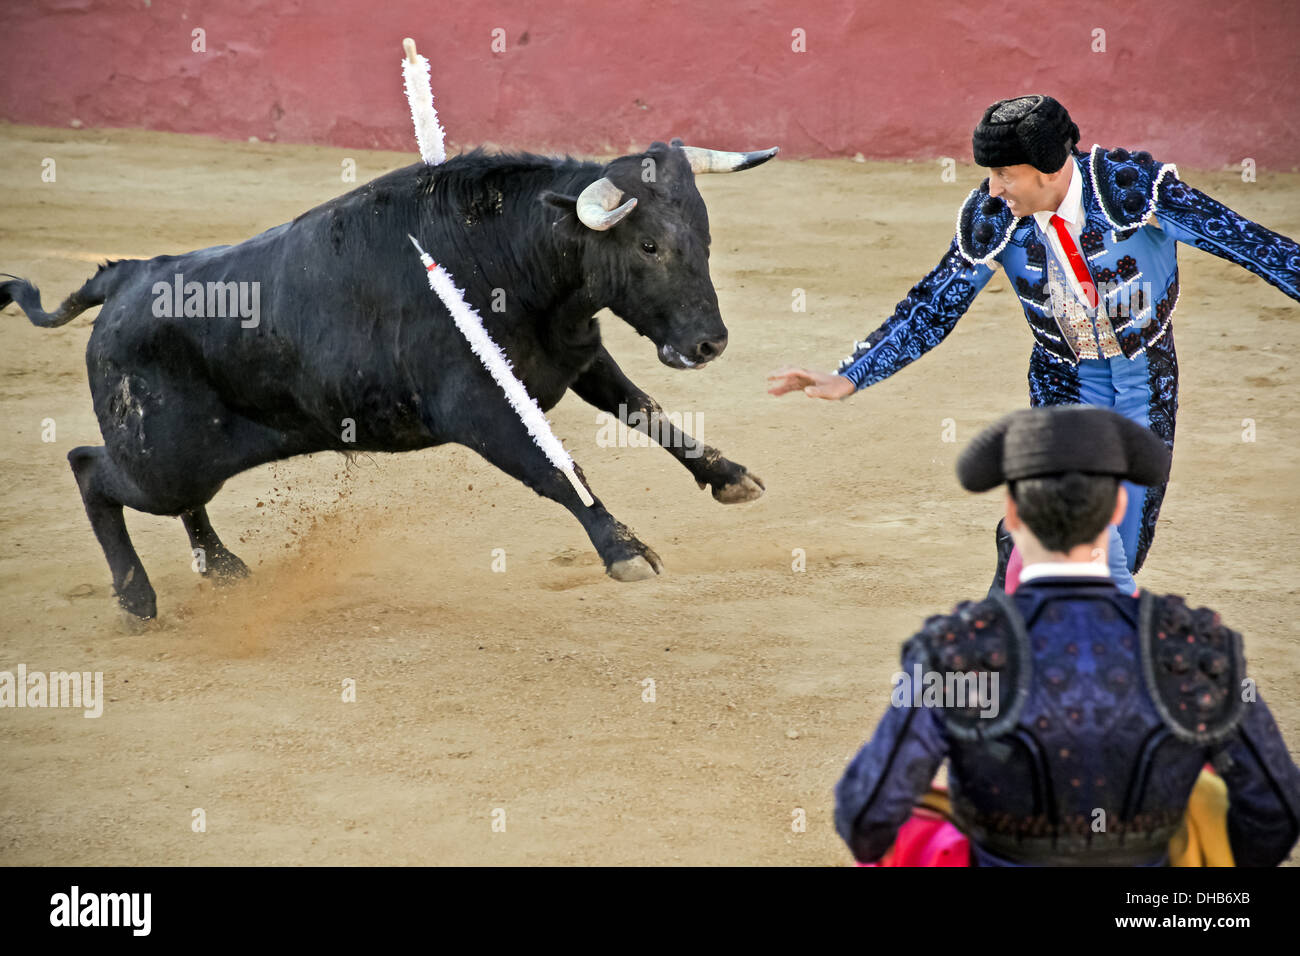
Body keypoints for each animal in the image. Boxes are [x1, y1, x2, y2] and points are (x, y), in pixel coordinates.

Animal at [2, 138, 769, 624]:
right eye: (649, 245)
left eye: (704, 237)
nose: (709, 343)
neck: (507, 257)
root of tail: (127, 275)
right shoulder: (482, 409)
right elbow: (558, 467)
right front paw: (626, 550)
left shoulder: (577, 358)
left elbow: (648, 412)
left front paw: (730, 476)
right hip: (162, 458)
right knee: (89, 468)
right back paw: (137, 601)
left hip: (187, 462)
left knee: (169, 498)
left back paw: (220, 565)